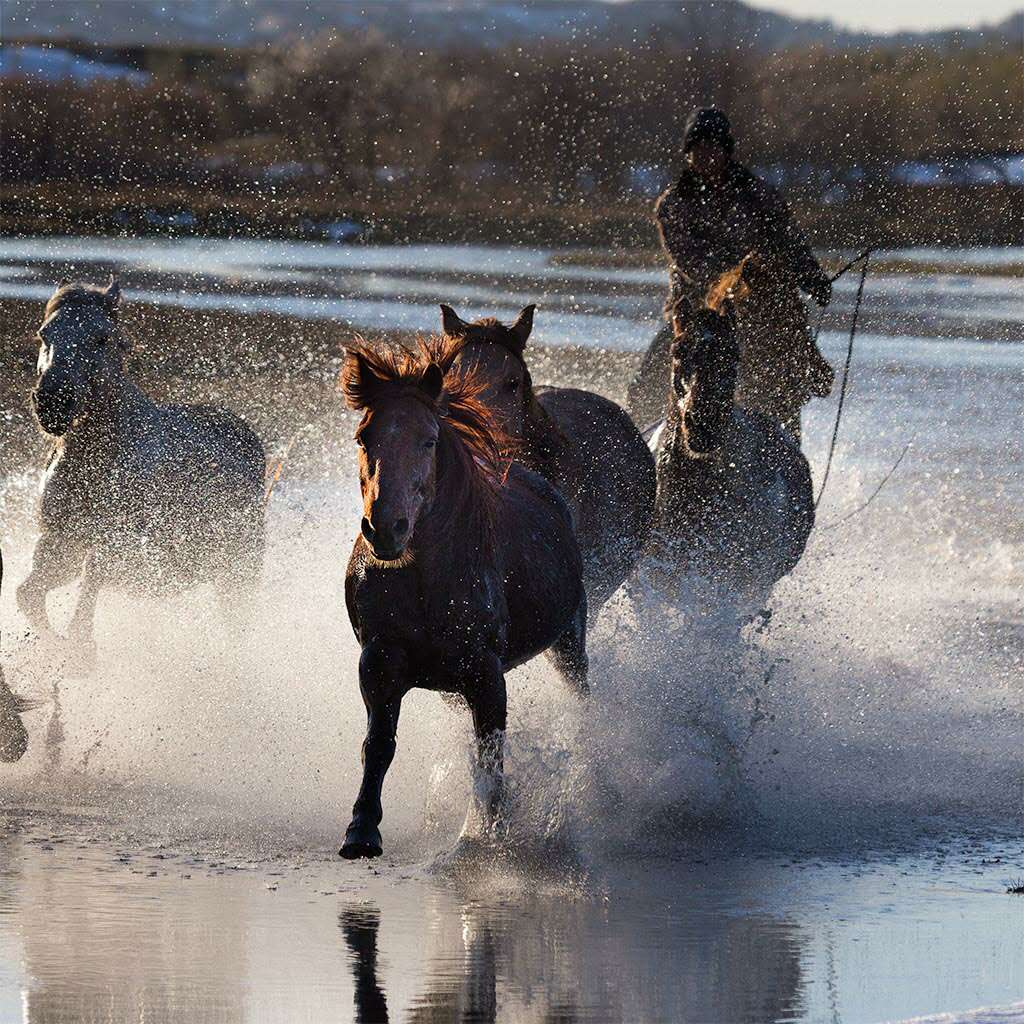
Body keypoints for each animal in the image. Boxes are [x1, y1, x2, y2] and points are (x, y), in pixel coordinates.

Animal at [18, 276, 266, 667]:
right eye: (45, 333)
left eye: (101, 337)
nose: (52, 402)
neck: (95, 460)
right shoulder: (60, 542)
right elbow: (27, 595)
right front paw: (68, 652)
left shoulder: (123, 544)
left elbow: (93, 576)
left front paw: (81, 647)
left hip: (239, 568)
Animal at [342, 333, 589, 856]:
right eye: (363, 437)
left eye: (429, 439)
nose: (385, 529)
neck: (425, 583)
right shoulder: (379, 660)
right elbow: (379, 745)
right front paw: (361, 830)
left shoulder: (484, 672)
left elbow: (490, 749)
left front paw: (491, 830)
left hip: (569, 645)